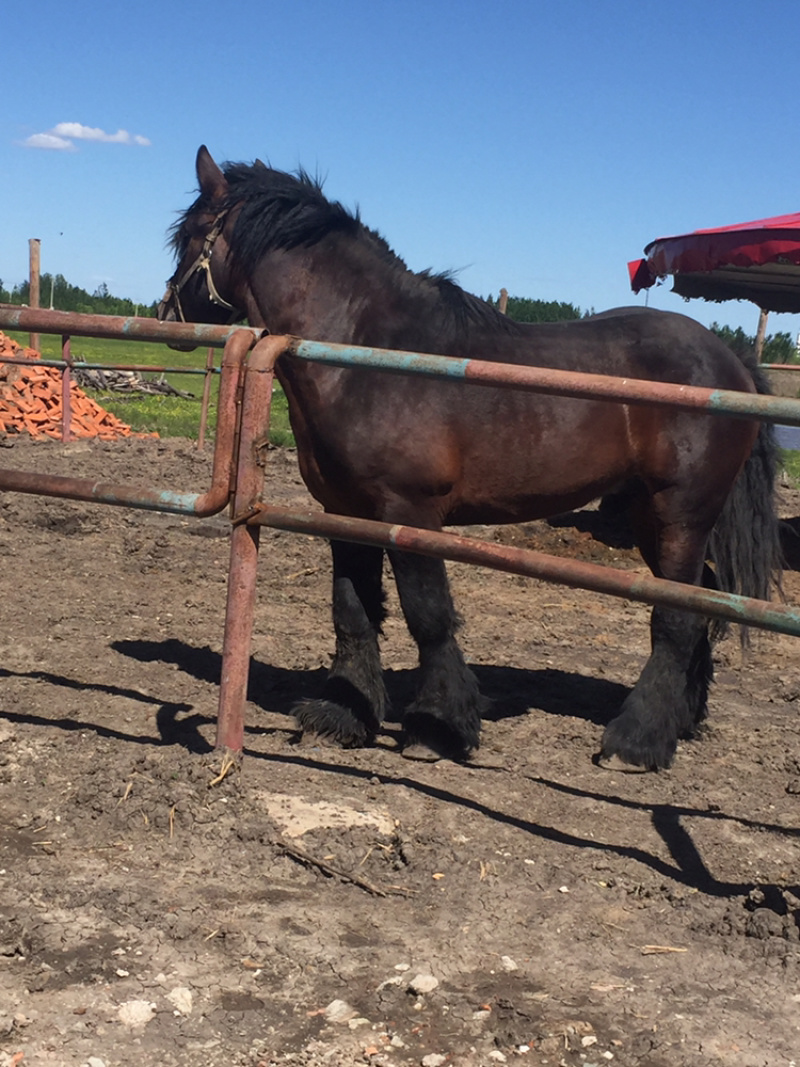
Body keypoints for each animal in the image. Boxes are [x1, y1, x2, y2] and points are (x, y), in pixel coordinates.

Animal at [158, 145, 782, 772]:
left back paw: (636, 741)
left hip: (681, 513)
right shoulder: (345, 512)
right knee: (699, 601)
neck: (368, 353)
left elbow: (428, 615)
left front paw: (437, 728)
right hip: (649, 515)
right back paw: (683, 719)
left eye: (188, 235)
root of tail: (730, 361)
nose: (168, 318)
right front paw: (344, 715)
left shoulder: (409, 512)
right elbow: (353, 609)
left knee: (677, 616)